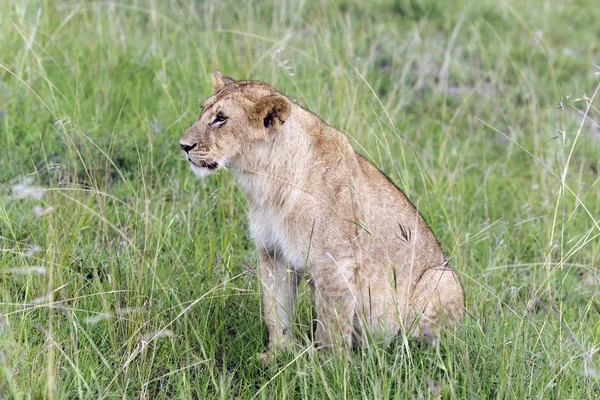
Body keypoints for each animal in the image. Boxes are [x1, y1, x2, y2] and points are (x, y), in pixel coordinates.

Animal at [178, 71, 464, 356]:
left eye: (221, 119)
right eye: (202, 110)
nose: (183, 145)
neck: (266, 179)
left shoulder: (335, 262)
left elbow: (332, 328)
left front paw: (331, 365)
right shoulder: (273, 252)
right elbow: (275, 310)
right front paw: (276, 354)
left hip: (442, 278)